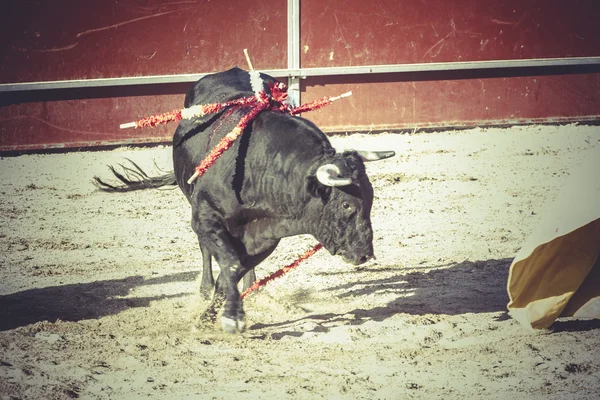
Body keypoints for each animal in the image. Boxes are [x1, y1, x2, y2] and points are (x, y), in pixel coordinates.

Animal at [94, 67, 394, 332]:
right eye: (346, 204)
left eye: (371, 200)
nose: (365, 254)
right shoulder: (206, 216)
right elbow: (228, 264)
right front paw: (229, 317)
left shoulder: (266, 236)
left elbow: (233, 272)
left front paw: (213, 316)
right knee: (205, 250)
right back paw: (204, 289)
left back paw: (251, 286)